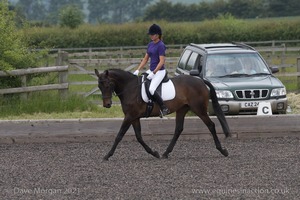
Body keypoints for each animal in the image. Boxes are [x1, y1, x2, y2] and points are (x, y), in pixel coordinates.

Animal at [95, 69, 231, 161]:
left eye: (108, 85)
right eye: (99, 86)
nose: (107, 104)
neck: (130, 88)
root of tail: (200, 80)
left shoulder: (129, 116)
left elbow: (119, 135)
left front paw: (107, 155)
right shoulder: (134, 117)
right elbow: (139, 137)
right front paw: (154, 153)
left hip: (199, 109)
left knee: (211, 125)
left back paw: (222, 150)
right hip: (182, 109)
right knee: (178, 129)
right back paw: (166, 153)